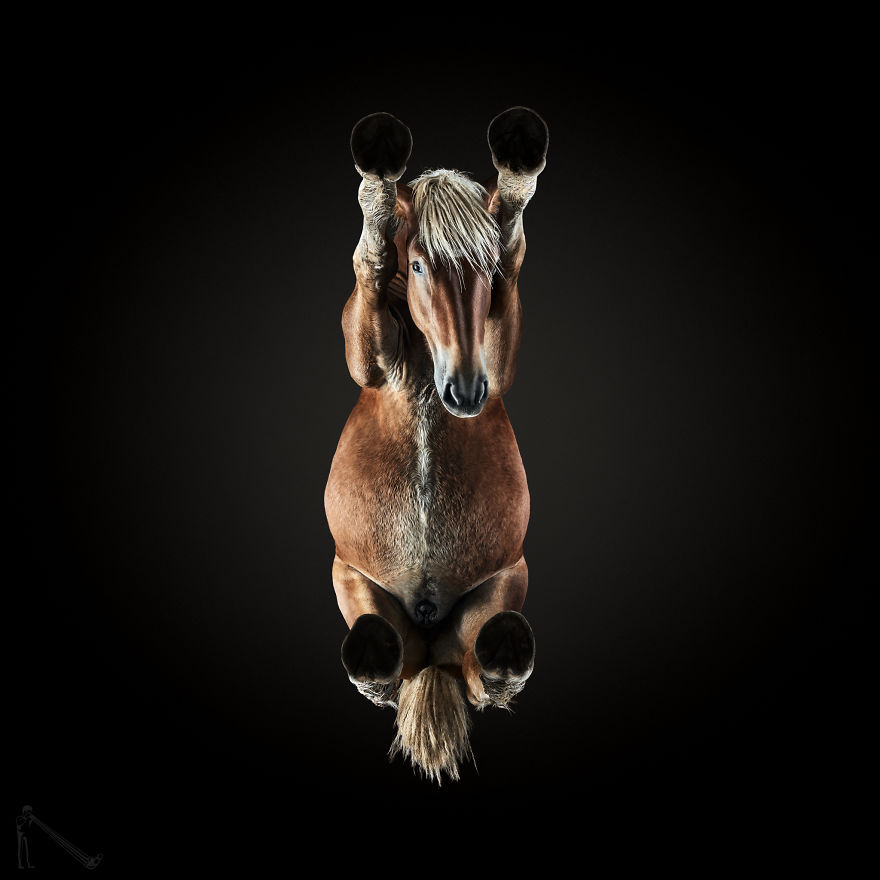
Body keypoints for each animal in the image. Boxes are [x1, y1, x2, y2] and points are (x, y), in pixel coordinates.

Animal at [324, 107, 548, 782]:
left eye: (488, 273)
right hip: (354, 583)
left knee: (485, 668)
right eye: (420, 265)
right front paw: (377, 177)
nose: (467, 390)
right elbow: (369, 262)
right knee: (380, 661)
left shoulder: (499, 358)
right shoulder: (369, 358)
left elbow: (512, 233)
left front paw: (517, 167)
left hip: (501, 586)